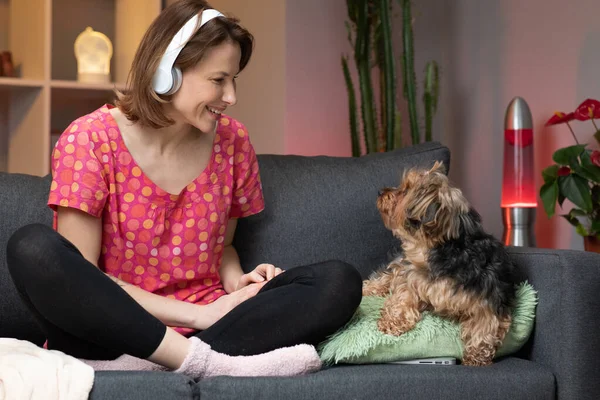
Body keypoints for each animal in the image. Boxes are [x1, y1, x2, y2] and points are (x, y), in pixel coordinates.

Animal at [364, 162, 516, 366]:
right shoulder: (410, 275)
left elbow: (484, 327)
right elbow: (402, 297)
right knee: (386, 276)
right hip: (401, 263)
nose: (380, 191)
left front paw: (476, 358)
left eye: (406, 190)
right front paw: (392, 321)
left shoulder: (490, 296)